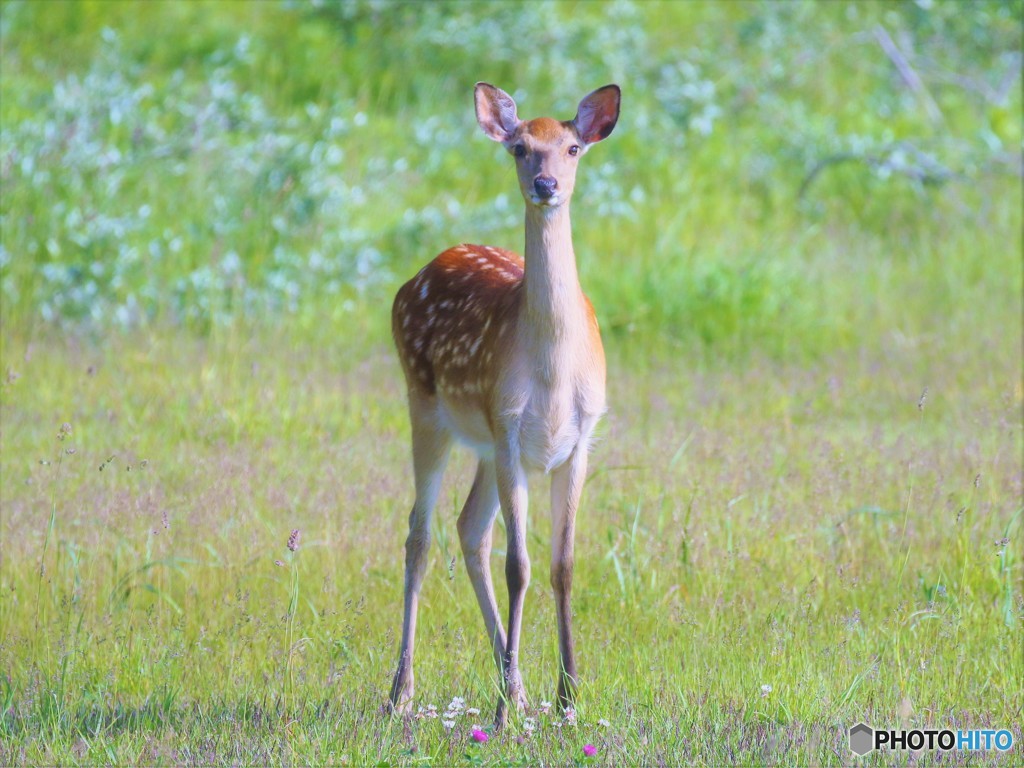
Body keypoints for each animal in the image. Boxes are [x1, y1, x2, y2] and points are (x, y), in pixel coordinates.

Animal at [387, 81, 618, 729]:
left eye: (572, 147)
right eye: (519, 148)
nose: (546, 184)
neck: (552, 371)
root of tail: (417, 274)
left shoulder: (579, 439)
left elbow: (562, 565)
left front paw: (568, 697)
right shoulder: (512, 427)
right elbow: (521, 566)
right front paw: (500, 713)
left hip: (486, 444)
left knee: (469, 529)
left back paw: (517, 687)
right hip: (427, 407)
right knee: (420, 536)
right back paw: (401, 692)